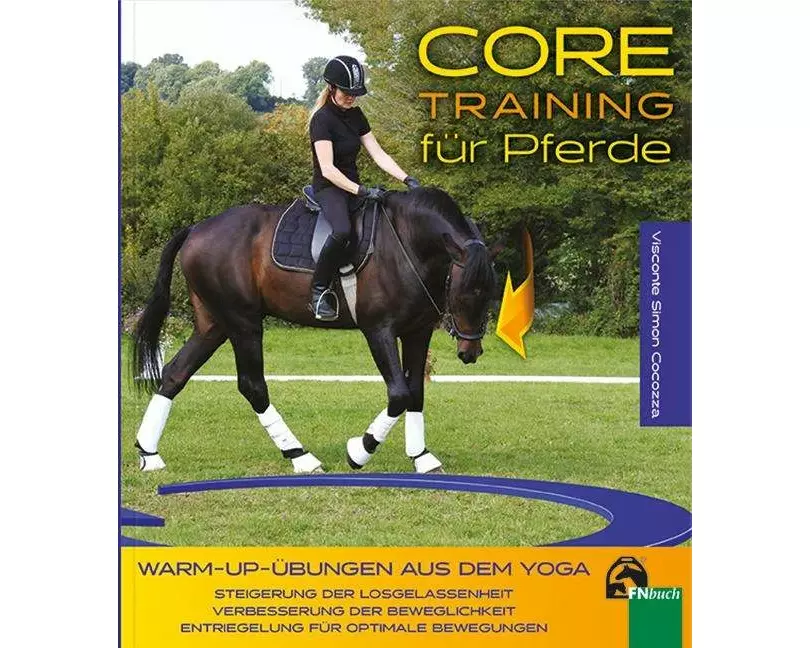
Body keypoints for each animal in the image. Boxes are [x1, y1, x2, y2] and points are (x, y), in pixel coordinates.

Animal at [131, 186, 497, 475]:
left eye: (490, 293)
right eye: (464, 293)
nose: (470, 353)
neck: (409, 242)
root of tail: (196, 229)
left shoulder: (417, 332)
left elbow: (416, 392)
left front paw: (421, 458)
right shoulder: (379, 329)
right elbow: (399, 394)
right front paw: (358, 451)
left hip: (214, 324)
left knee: (175, 373)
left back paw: (149, 453)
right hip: (243, 321)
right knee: (252, 386)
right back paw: (301, 457)